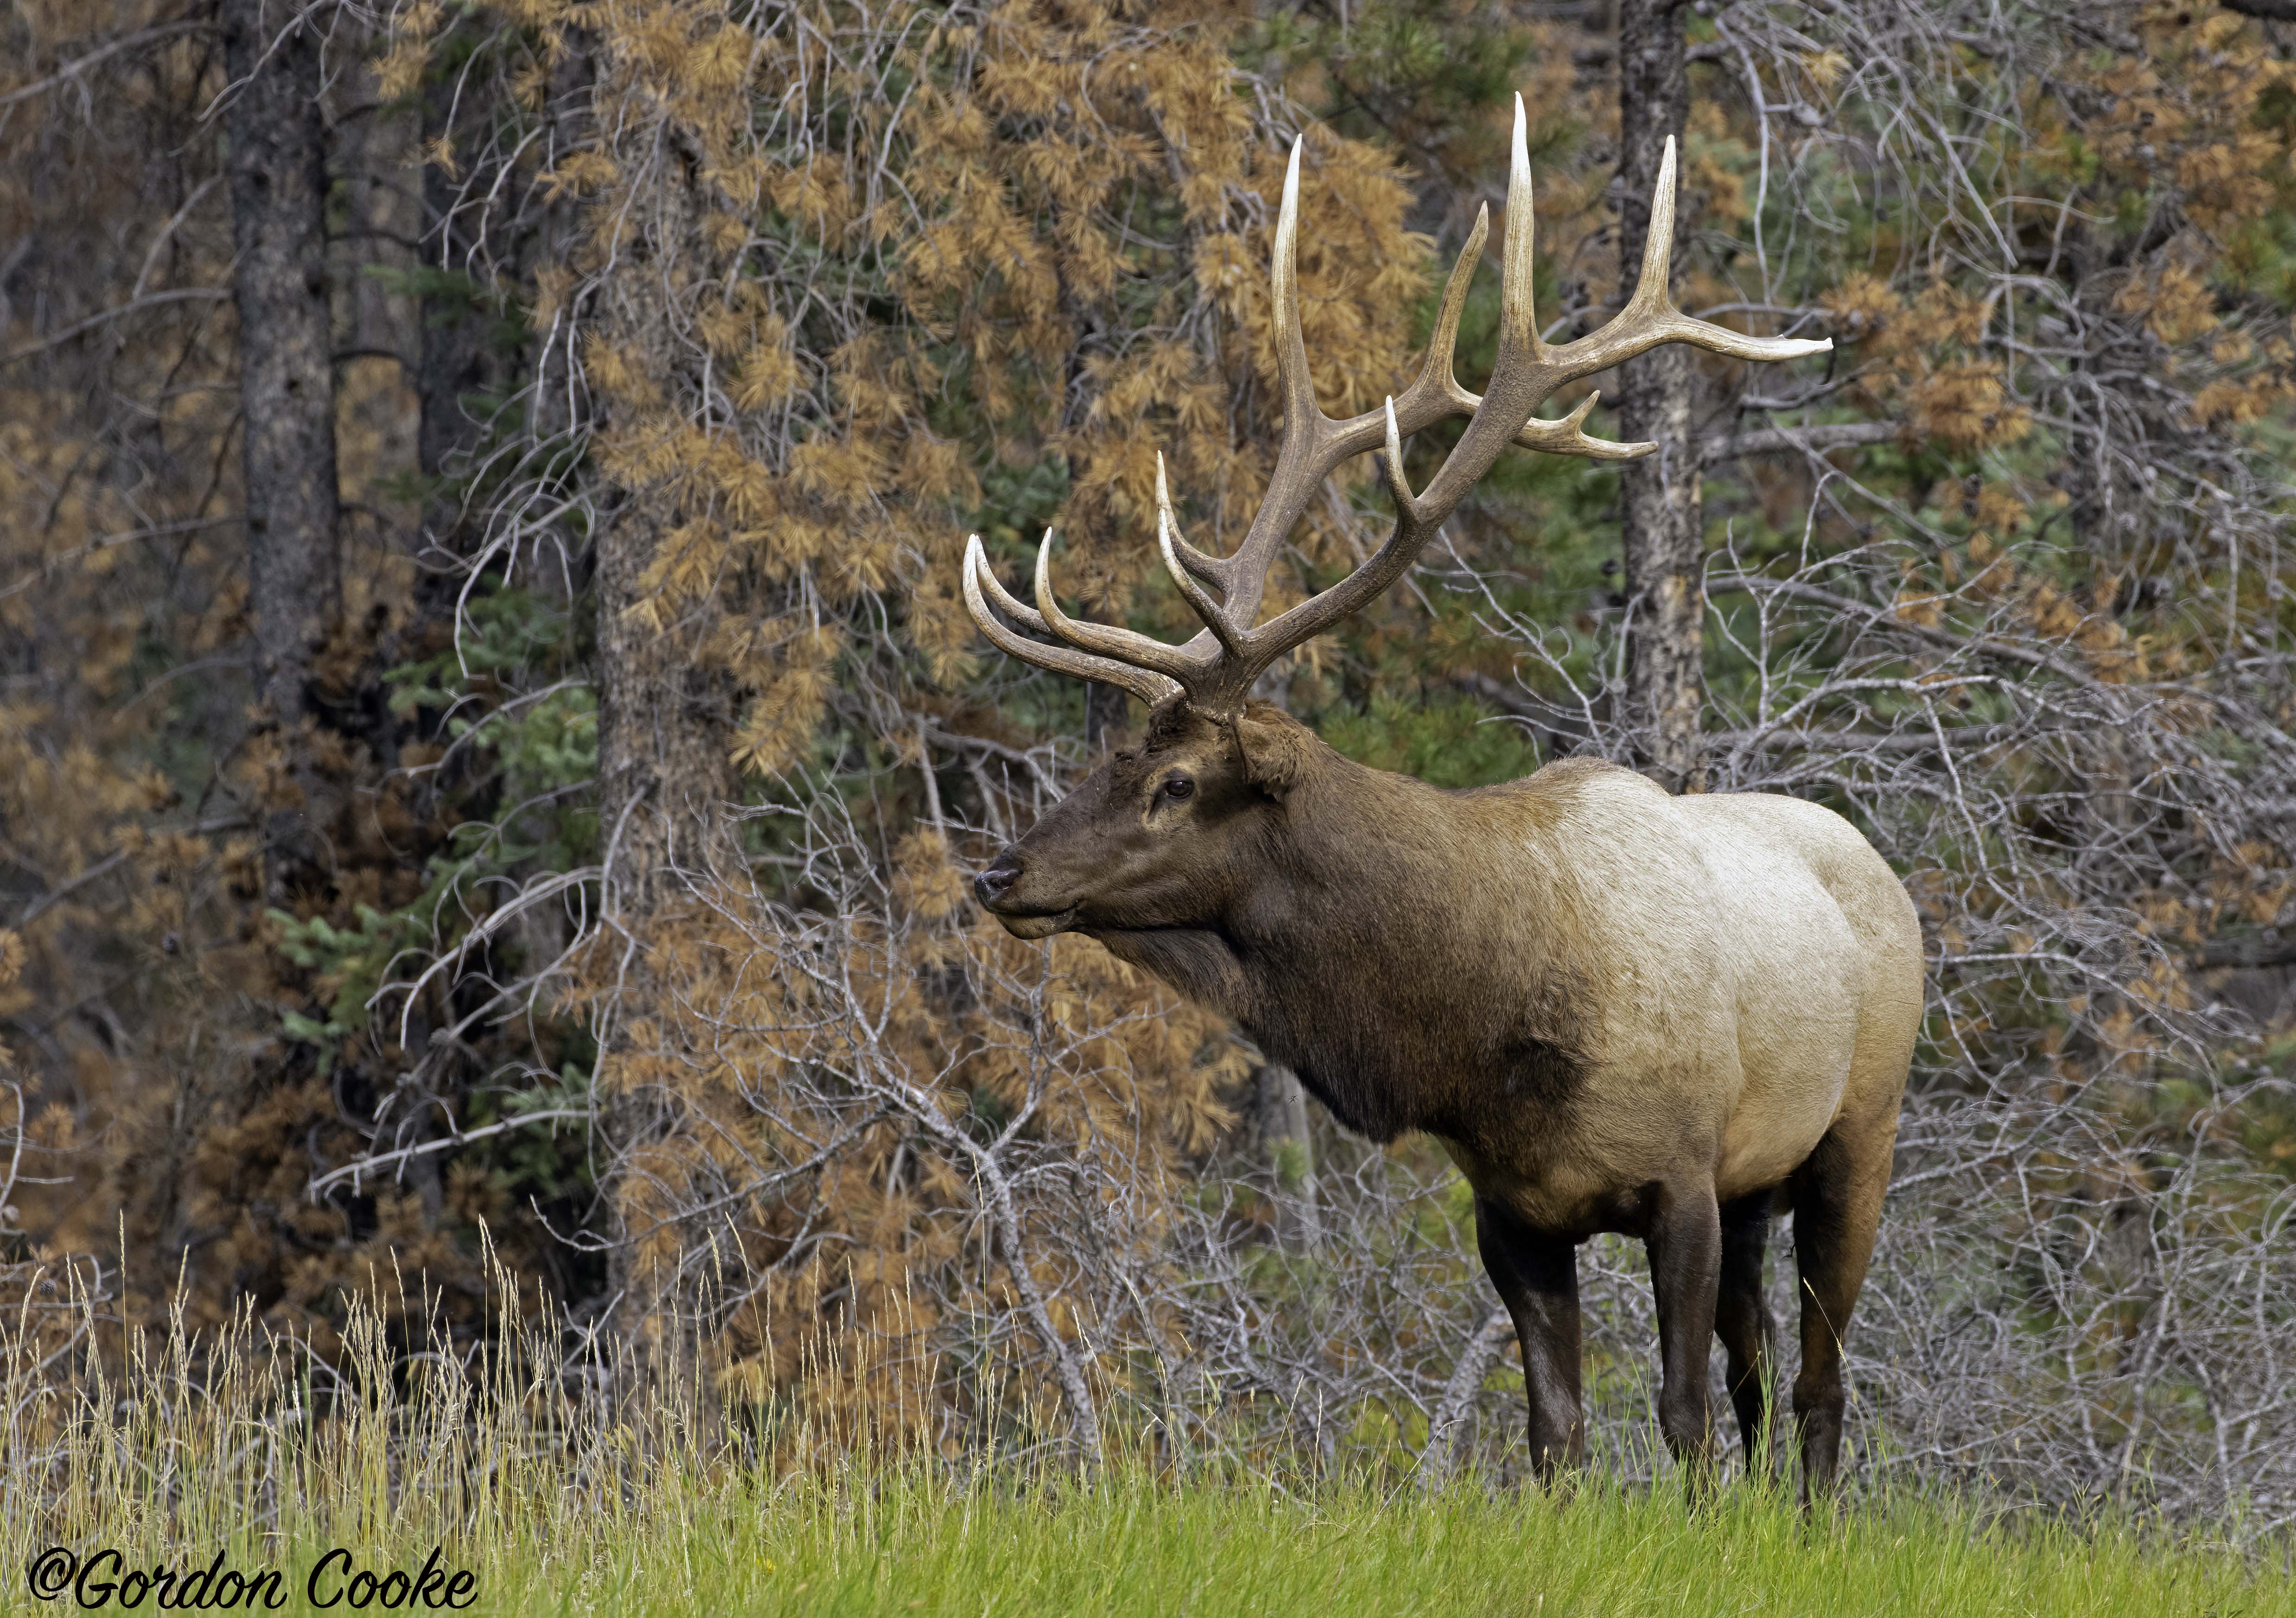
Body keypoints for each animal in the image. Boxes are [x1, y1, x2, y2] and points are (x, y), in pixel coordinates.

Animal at [958, 99, 1924, 1498]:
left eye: (1177, 780)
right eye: (1108, 765)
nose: (1001, 872)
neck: (1480, 1027)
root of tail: (1878, 863)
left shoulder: (1682, 1174)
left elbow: (1679, 1415)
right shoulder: (1510, 1207)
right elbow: (1553, 1432)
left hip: (1859, 1131)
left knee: (1813, 1380)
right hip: (1763, 1180)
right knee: (1761, 1369)